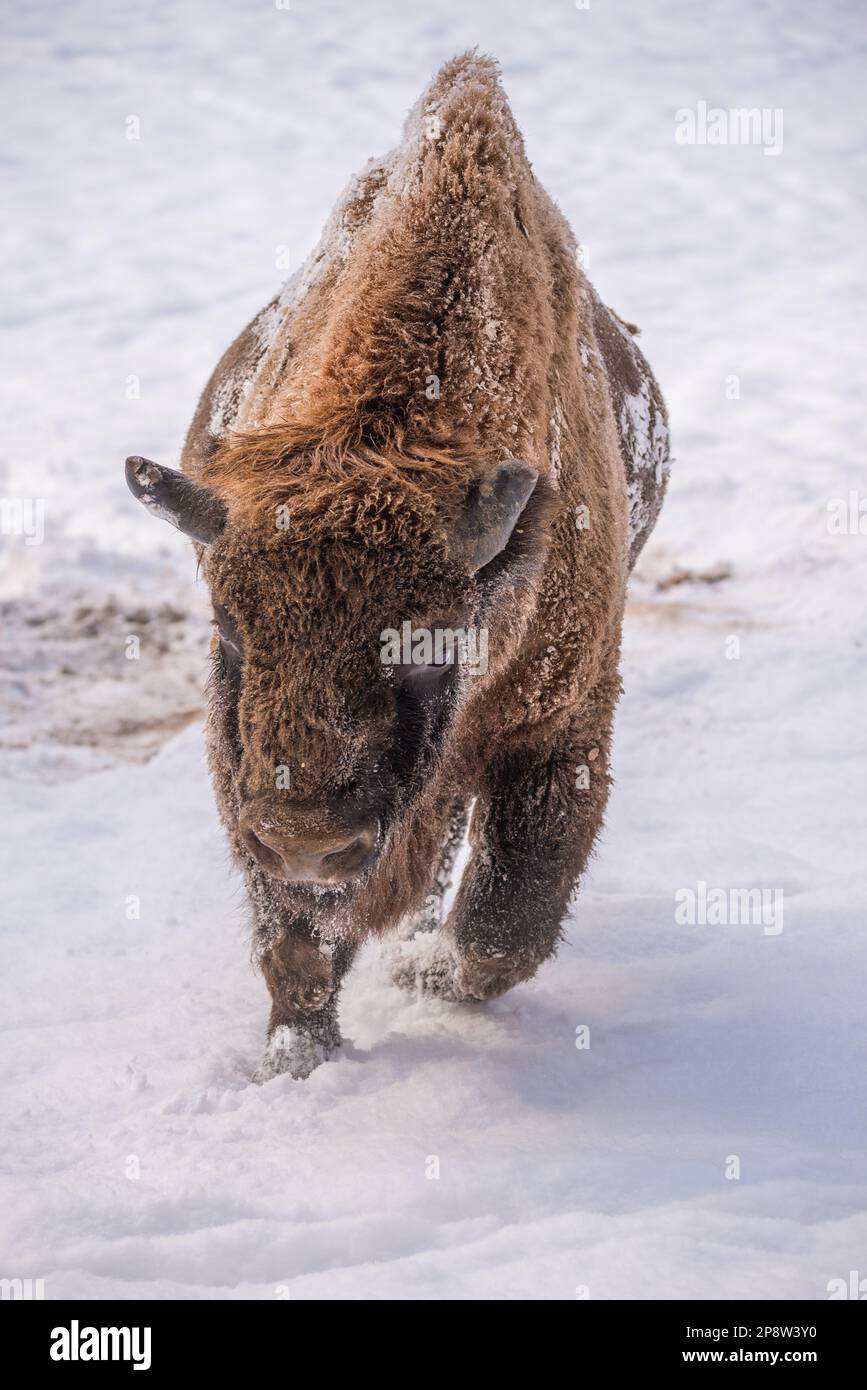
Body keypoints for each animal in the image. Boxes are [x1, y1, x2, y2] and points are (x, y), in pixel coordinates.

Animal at [125, 54, 666, 1078]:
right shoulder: (245, 765)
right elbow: (298, 942)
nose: (309, 843)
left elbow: (504, 925)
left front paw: (424, 974)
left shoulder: (561, 724)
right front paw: (299, 1058)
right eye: (228, 627)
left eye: (431, 642)